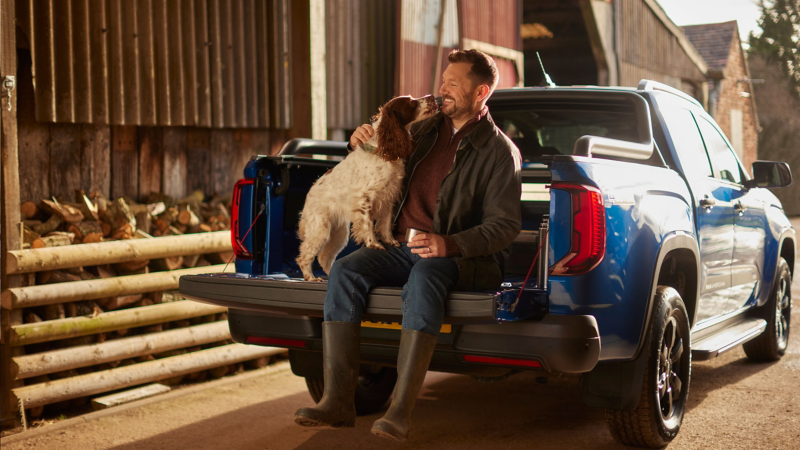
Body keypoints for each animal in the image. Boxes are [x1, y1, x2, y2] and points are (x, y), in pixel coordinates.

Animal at [296, 94, 440, 280]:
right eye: (410, 102)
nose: (431, 96)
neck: (382, 150)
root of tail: (311, 190)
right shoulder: (365, 198)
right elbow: (369, 225)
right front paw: (374, 244)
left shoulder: (389, 197)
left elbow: (386, 223)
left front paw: (390, 241)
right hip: (320, 229)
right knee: (304, 256)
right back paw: (311, 277)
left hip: (339, 233)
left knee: (324, 257)